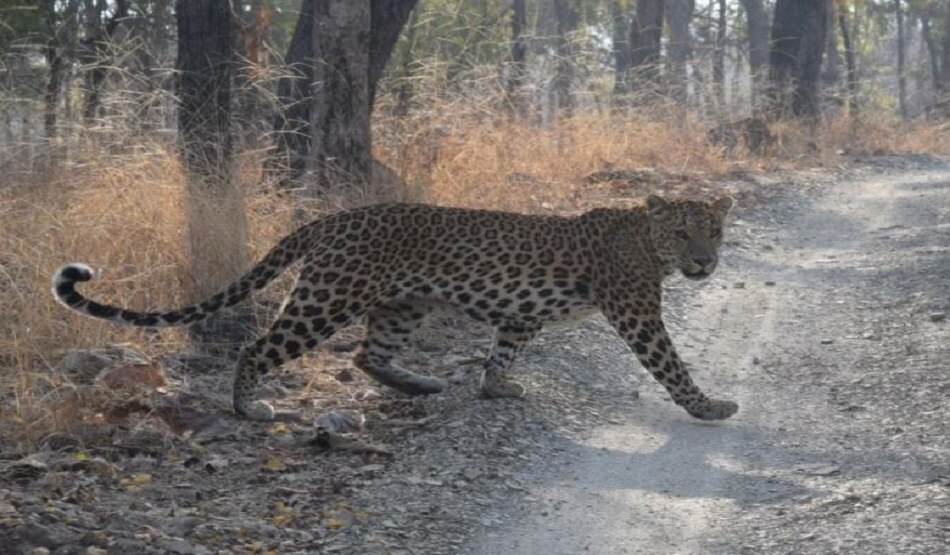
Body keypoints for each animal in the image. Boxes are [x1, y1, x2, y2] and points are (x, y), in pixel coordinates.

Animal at [53, 195, 738, 422]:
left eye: (714, 232)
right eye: (683, 234)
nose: (704, 263)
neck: (647, 242)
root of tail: (330, 220)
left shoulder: (521, 317)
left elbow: (502, 352)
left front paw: (495, 388)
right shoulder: (637, 312)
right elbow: (671, 365)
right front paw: (709, 407)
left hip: (401, 306)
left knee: (365, 354)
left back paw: (420, 382)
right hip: (328, 297)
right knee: (260, 346)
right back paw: (249, 407)